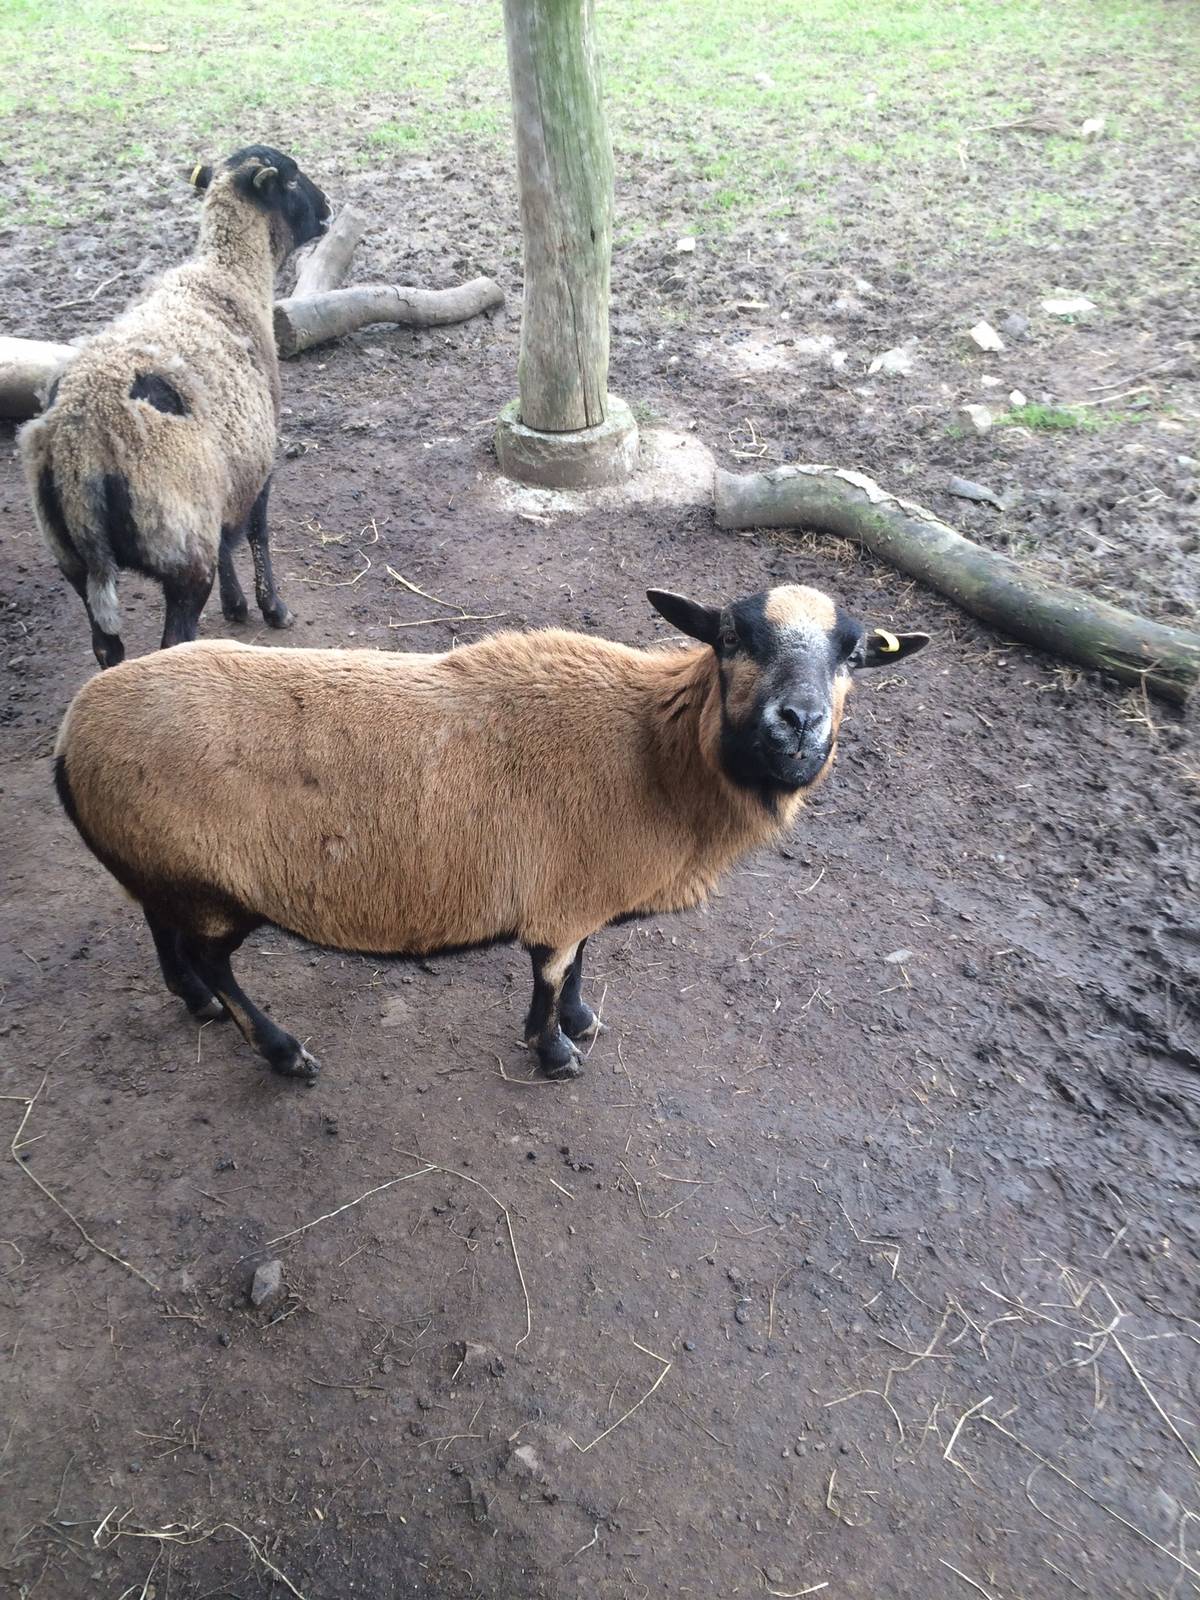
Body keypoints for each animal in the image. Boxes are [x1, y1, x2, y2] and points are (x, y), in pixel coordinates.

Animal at [18, 145, 329, 669]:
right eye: (290, 179)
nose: (327, 209)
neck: (230, 272)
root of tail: (81, 445)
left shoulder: (224, 472)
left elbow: (228, 536)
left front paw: (236, 605)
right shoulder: (259, 459)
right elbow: (257, 532)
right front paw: (273, 609)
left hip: (73, 558)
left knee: (107, 647)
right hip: (180, 547)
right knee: (173, 640)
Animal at [53, 583, 929, 1082]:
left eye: (853, 655)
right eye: (732, 638)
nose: (799, 723)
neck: (656, 752)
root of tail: (71, 735)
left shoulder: (583, 890)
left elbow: (580, 967)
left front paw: (580, 1021)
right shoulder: (562, 901)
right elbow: (550, 976)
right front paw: (555, 1054)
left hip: (157, 863)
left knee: (160, 929)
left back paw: (195, 1003)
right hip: (207, 886)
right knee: (212, 958)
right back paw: (280, 1050)